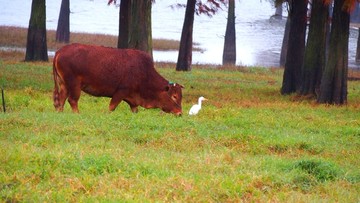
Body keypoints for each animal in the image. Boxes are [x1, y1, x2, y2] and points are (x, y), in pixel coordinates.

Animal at [52, 43, 184, 115]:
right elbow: (111, 107)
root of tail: (60, 51)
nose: (180, 113)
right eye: (174, 96)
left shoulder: (133, 102)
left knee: (61, 100)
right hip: (74, 84)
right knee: (72, 100)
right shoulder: (120, 92)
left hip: (64, 84)